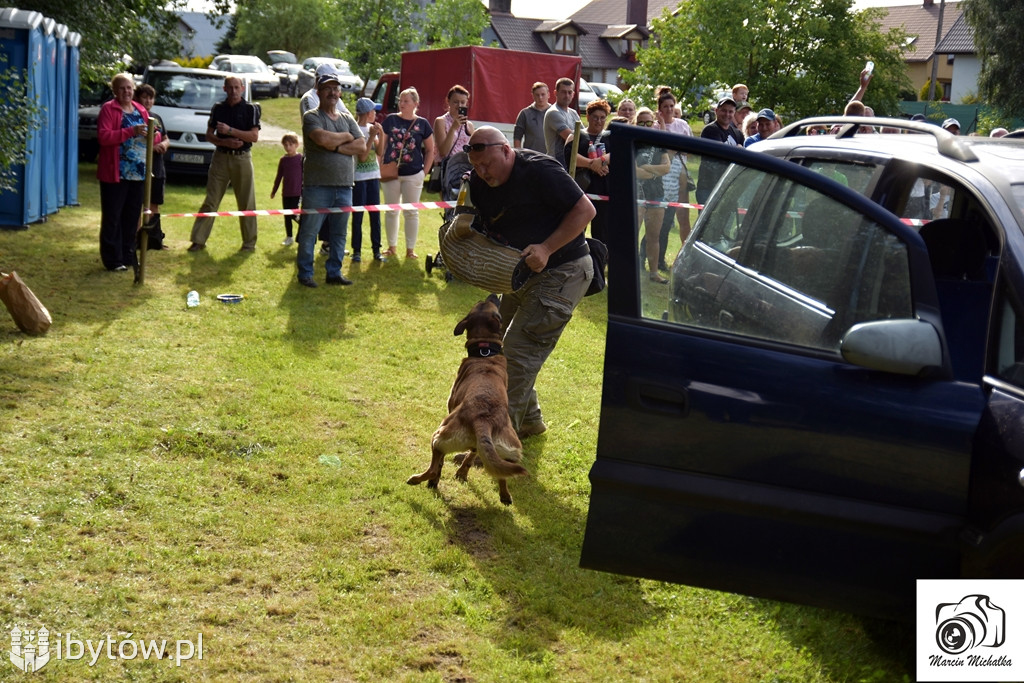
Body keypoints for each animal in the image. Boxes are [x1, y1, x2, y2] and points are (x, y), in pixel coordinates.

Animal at [403, 294, 528, 507]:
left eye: (487, 304)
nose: (493, 294)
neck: (485, 352)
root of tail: (484, 420)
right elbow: (471, 455)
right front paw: (462, 472)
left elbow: (441, 464)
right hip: (509, 452)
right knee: (502, 474)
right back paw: (504, 495)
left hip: (439, 436)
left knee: (434, 468)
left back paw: (420, 479)